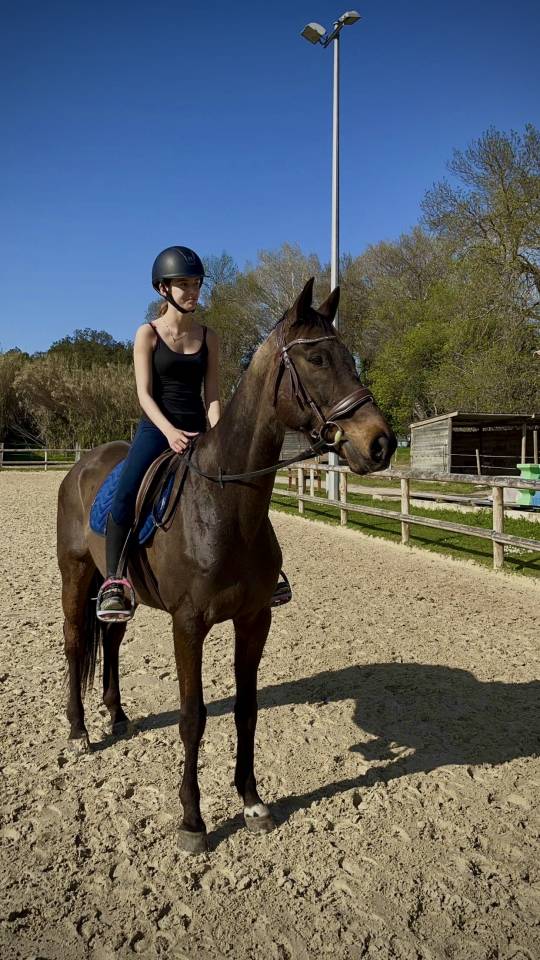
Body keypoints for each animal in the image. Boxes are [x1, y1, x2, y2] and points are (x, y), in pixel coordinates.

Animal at [57, 278, 396, 853]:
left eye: (350, 357)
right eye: (319, 359)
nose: (380, 443)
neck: (224, 504)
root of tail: (82, 465)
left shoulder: (255, 618)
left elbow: (246, 708)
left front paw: (252, 801)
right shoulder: (188, 624)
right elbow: (192, 717)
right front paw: (193, 821)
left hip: (116, 589)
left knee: (112, 640)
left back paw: (117, 716)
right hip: (76, 574)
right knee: (77, 642)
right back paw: (79, 731)